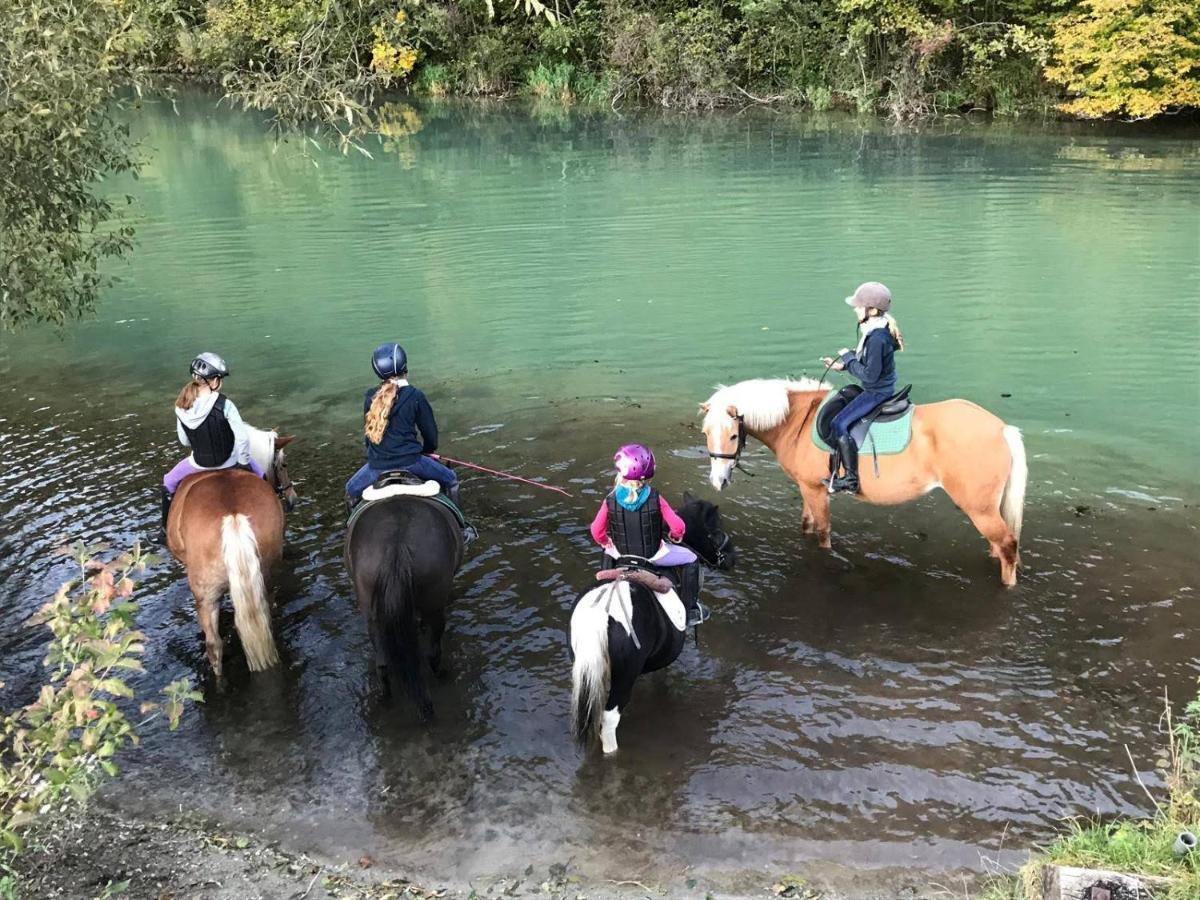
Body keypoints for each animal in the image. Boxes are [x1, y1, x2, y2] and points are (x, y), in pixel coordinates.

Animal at [165, 434, 298, 681]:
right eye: (284, 465)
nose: (293, 499)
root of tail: (233, 515)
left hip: (205, 597)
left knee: (214, 646)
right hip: (266, 579)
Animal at [348, 496, 463, 724]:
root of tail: (396, 543)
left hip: (373, 615)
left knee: (382, 664)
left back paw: (384, 698)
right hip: (434, 606)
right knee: (432, 652)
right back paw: (443, 675)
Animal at [700, 379, 1027, 585]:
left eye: (733, 435)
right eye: (705, 433)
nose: (718, 481)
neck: (798, 420)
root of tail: (1001, 428)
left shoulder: (815, 490)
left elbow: (822, 532)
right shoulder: (807, 488)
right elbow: (806, 524)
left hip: (979, 509)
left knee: (1008, 544)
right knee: (1000, 546)